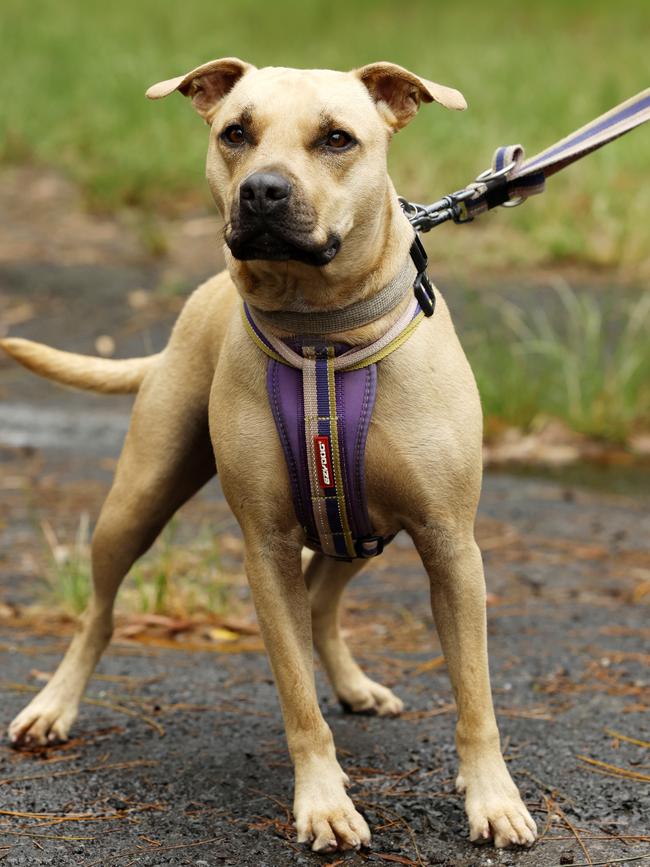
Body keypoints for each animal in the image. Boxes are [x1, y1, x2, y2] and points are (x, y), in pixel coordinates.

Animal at [2, 61, 536, 856]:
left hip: (362, 529)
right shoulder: (267, 549)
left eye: (338, 138)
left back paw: (354, 685)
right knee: (99, 612)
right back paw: (54, 705)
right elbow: (296, 697)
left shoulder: (451, 546)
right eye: (235, 133)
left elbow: (475, 694)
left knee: (323, 601)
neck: (322, 332)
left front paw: (493, 798)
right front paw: (324, 802)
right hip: (138, 500)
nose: (262, 189)